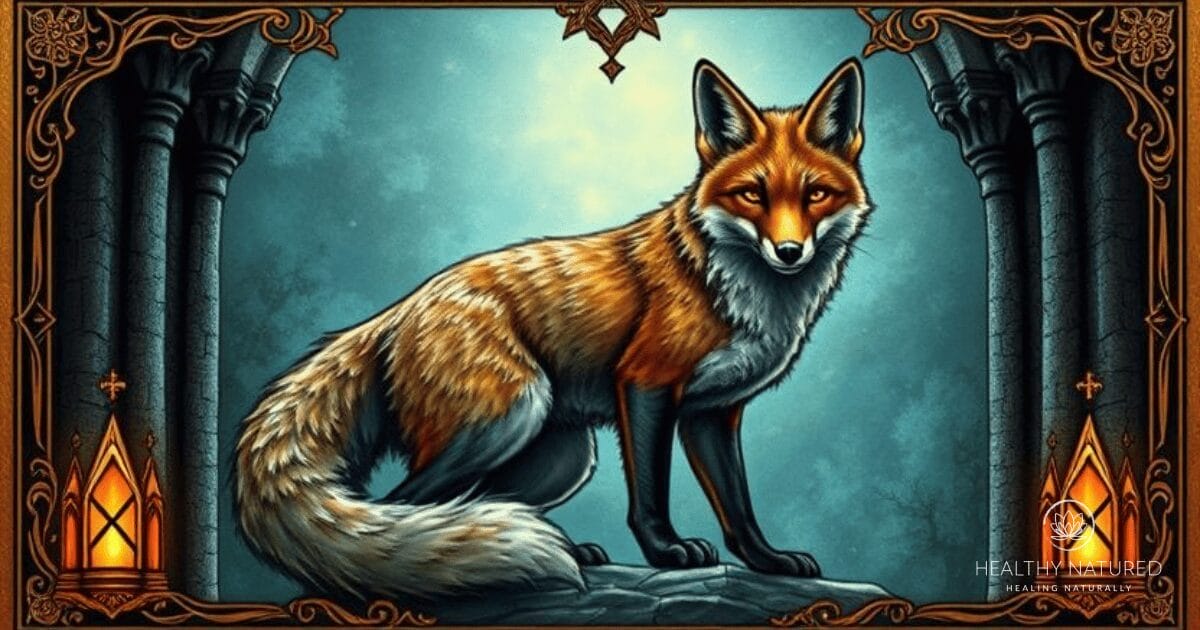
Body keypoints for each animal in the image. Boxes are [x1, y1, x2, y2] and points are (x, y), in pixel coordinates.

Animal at [234, 58, 870, 599]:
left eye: (815, 194)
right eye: (751, 194)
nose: (789, 253)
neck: (736, 290)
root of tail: (399, 308)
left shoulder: (712, 412)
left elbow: (738, 506)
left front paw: (767, 561)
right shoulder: (646, 383)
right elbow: (651, 492)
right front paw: (665, 552)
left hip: (560, 457)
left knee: (462, 505)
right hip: (505, 419)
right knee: (404, 503)